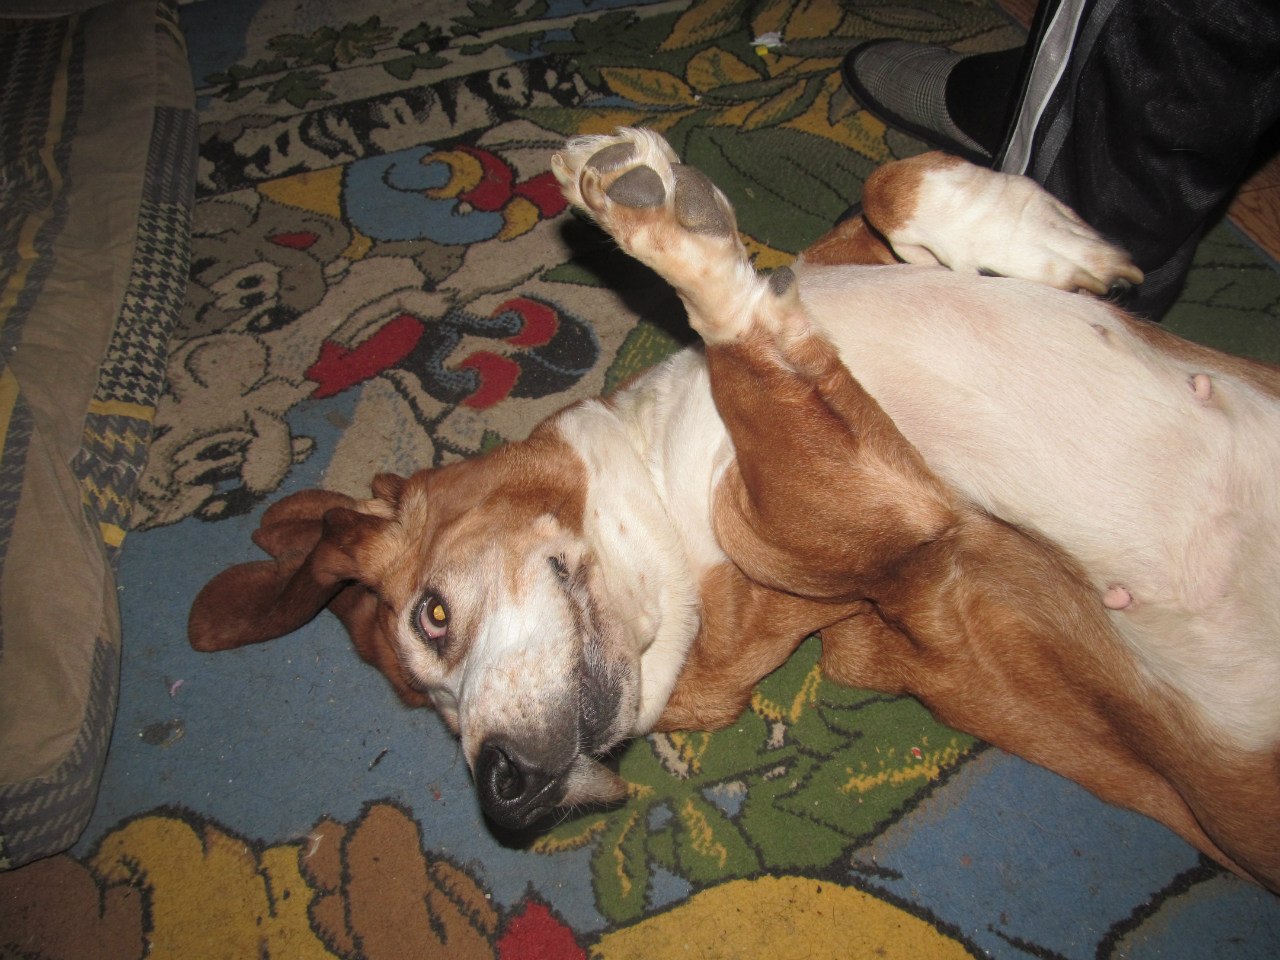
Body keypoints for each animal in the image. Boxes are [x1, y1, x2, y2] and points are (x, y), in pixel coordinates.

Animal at [190, 128, 1280, 893]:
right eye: (435, 706)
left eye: (432, 617)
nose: (505, 788)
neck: (673, 492)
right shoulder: (883, 525)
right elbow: (746, 337)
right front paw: (665, 229)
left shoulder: (833, 277)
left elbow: (885, 190)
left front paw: (1041, 239)